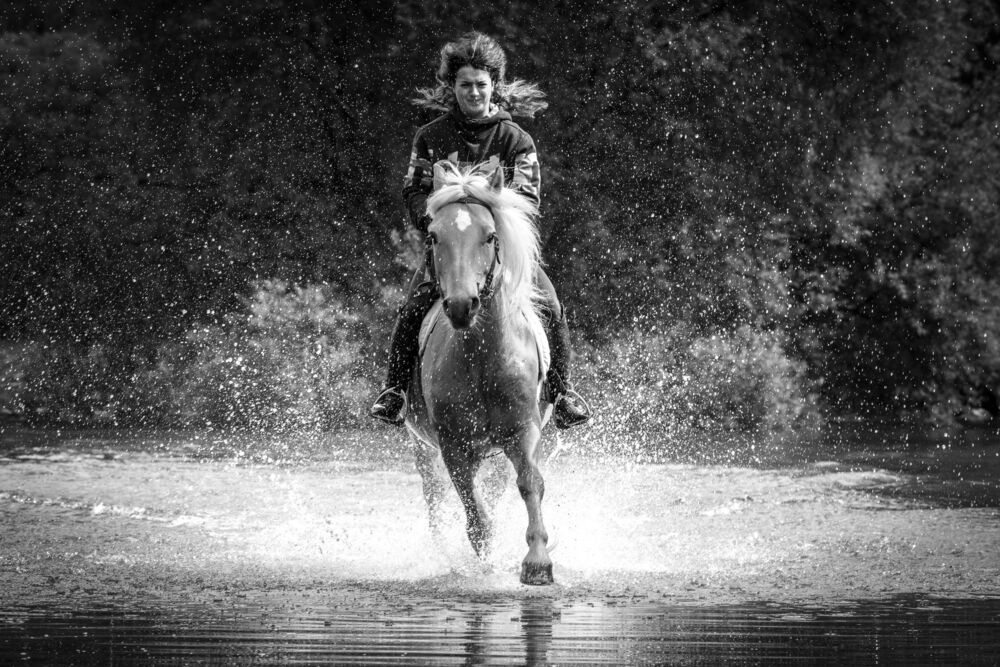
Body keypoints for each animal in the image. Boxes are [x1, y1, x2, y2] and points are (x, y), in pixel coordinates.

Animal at [404, 161, 555, 585]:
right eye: (433, 235)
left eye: (490, 236)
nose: (461, 305)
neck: (482, 357)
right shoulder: (453, 444)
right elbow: (471, 508)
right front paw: (483, 559)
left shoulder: (522, 432)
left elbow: (530, 483)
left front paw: (537, 561)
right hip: (424, 448)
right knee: (435, 498)